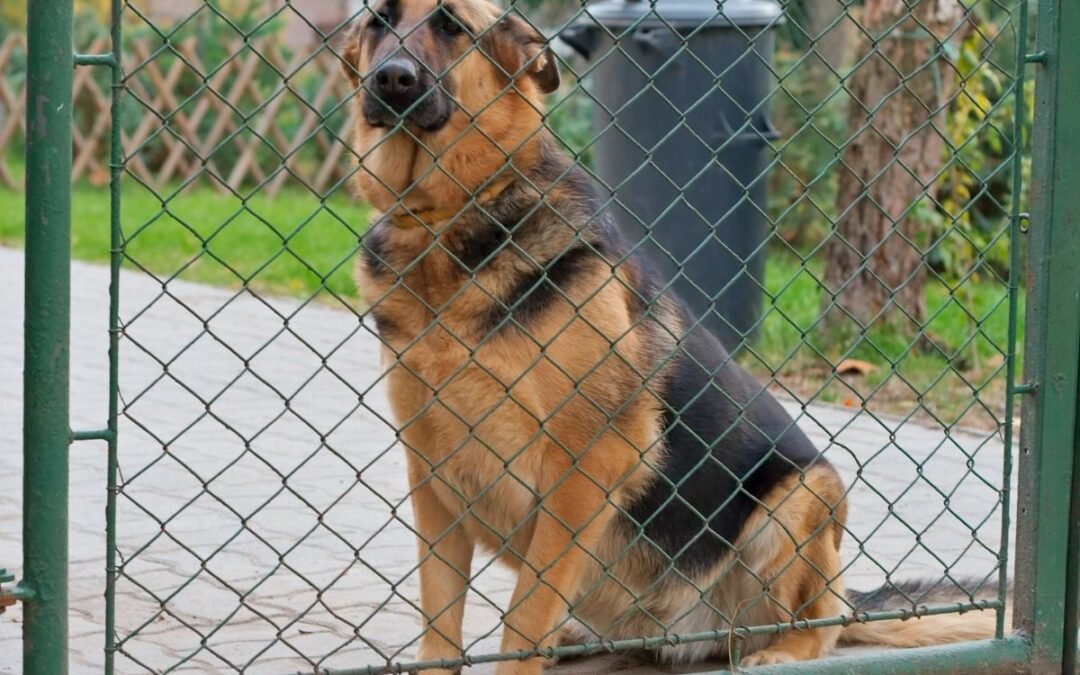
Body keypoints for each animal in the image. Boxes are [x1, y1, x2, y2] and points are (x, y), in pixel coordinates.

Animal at [341, 2, 997, 669]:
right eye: (377, 22)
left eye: (451, 25)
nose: (392, 79)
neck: (447, 221)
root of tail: (682, 632)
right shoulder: (433, 476)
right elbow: (439, 623)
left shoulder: (585, 464)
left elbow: (525, 618)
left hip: (799, 498)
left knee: (823, 620)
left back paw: (782, 649)